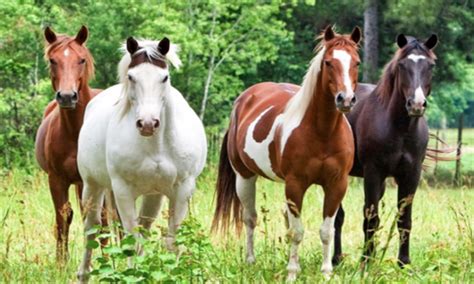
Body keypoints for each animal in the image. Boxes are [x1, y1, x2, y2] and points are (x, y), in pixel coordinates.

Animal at [35, 25, 102, 260]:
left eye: (81, 60)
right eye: (52, 60)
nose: (66, 96)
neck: (75, 132)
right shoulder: (57, 180)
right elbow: (63, 218)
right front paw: (61, 263)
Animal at [77, 36, 206, 280]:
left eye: (164, 77)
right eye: (131, 76)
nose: (147, 123)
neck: (156, 146)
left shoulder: (182, 190)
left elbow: (171, 242)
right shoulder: (123, 190)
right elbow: (131, 242)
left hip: (153, 196)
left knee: (144, 230)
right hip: (92, 186)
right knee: (91, 229)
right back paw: (83, 275)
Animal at [213, 26, 362, 280]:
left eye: (357, 62)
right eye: (329, 62)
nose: (346, 99)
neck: (322, 132)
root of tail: (243, 100)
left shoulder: (337, 184)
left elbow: (326, 231)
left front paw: (326, 273)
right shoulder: (295, 184)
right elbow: (297, 231)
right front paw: (292, 273)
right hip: (244, 177)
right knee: (250, 218)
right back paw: (250, 261)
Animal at [332, 34, 438, 268]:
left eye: (431, 66)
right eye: (401, 65)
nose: (416, 104)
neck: (400, 128)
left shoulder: (411, 175)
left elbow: (404, 219)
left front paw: (404, 263)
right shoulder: (373, 172)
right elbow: (371, 219)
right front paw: (366, 263)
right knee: (338, 216)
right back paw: (336, 259)